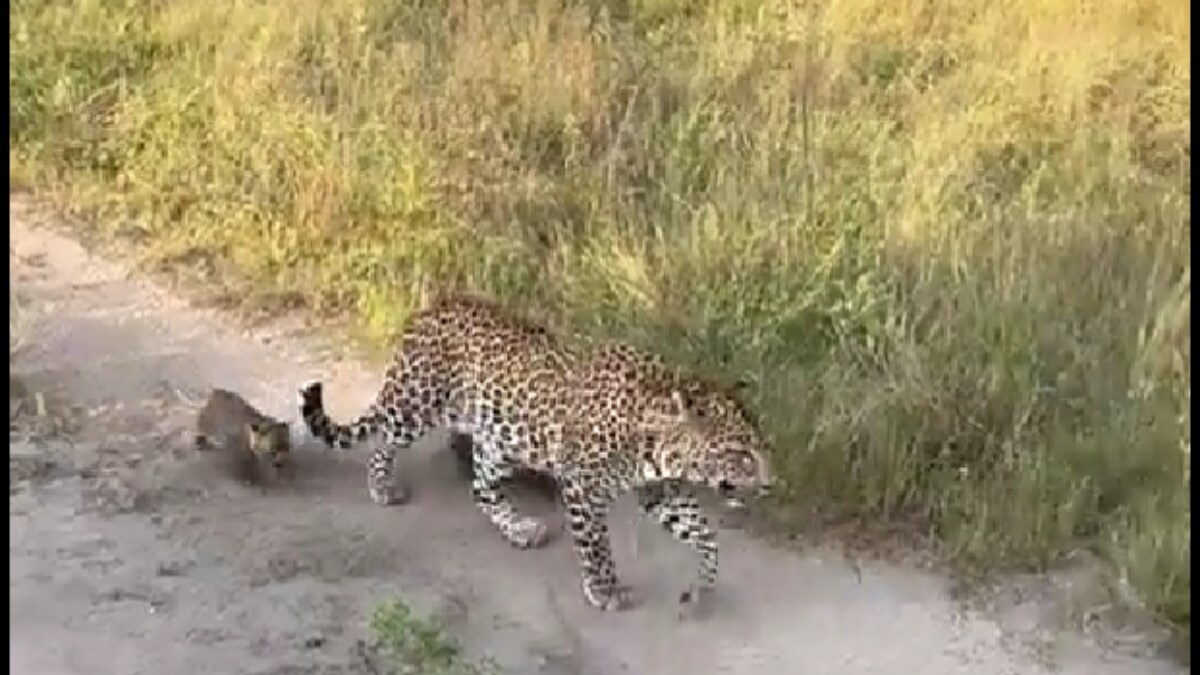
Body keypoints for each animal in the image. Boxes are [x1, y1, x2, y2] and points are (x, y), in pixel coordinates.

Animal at [298, 293, 772, 612]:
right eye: (739, 452)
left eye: (760, 447)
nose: (771, 485)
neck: (655, 442)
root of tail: (429, 309)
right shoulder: (584, 488)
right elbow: (597, 547)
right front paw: (605, 591)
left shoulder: (660, 492)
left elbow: (706, 536)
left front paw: (703, 589)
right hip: (416, 404)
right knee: (383, 439)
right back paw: (382, 486)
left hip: (499, 440)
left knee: (482, 488)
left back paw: (519, 529)